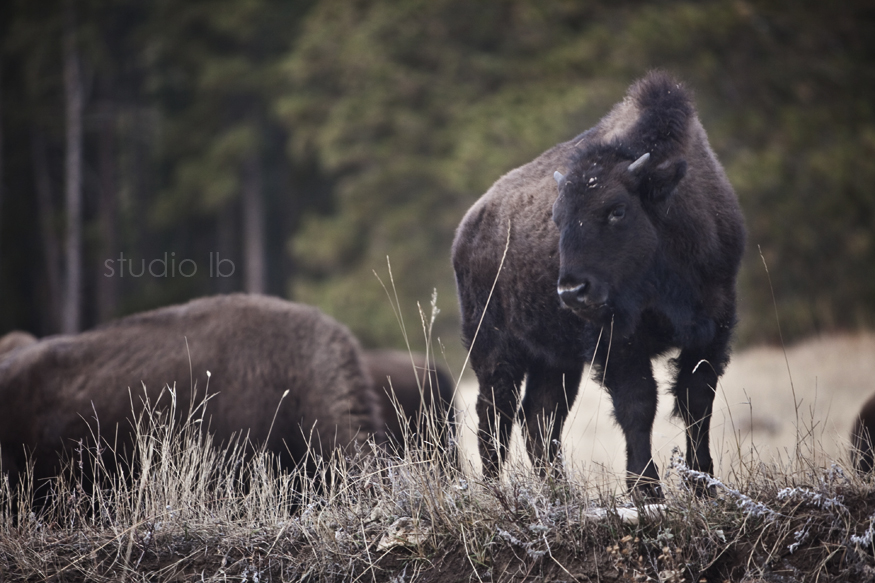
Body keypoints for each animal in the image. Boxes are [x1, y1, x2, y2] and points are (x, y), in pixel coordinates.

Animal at [452, 70, 744, 496]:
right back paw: (495, 491)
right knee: (496, 417)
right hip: (493, 349)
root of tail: (468, 227)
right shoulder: (617, 343)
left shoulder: (712, 327)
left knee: (539, 418)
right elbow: (638, 405)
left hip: (554, 360)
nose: (572, 291)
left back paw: (560, 491)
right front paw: (645, 489)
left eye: (617, 210)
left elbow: (696, 402)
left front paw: (703, 485)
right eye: (556, 217)